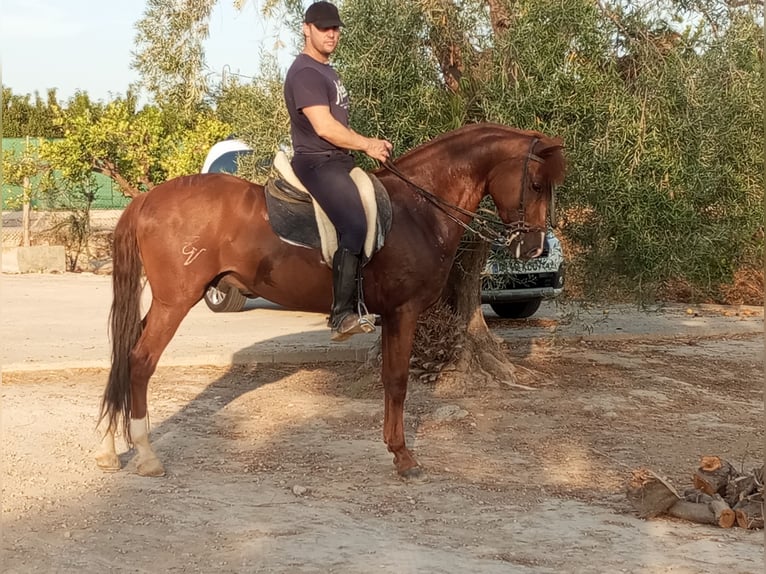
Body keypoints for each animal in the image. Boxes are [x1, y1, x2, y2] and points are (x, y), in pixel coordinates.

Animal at [96, 124, 568, 480]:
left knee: (122, 357)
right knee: (139, 362)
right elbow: (398, 381)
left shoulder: (394, 314)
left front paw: (394, 448)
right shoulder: (404, 312)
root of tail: (146, 198)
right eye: (535, 184)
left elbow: (391, 380)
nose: (534, 249)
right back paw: (146, 455)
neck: (419, 208)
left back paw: (108, 449)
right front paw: (403, 457)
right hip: (175, 302)